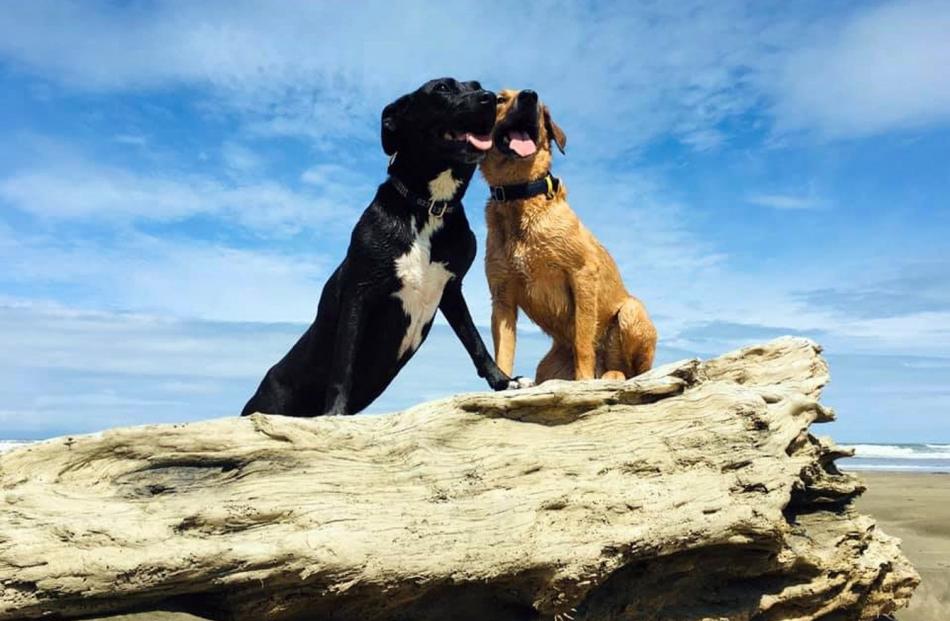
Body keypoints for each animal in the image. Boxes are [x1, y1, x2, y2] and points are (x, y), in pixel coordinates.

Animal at [242, 77, 532, 416]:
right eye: (442, 88)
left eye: (477, 85)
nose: (489, 99)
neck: (427, 208)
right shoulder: (359, 293)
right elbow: (344, 363)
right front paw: (334, 414)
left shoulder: (451, 290)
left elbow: (474, 341)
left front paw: (504, 381)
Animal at [480, 89, 660, 382]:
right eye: (499, 99)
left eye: (540, 106)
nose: (530, 96)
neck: (522, 194)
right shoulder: (502, 297)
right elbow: (503, 354)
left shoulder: (582, 274)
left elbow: (582, 341)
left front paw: (584, 380)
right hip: (546, 367)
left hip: (632, 312)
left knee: (637, 371)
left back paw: (612, 375)